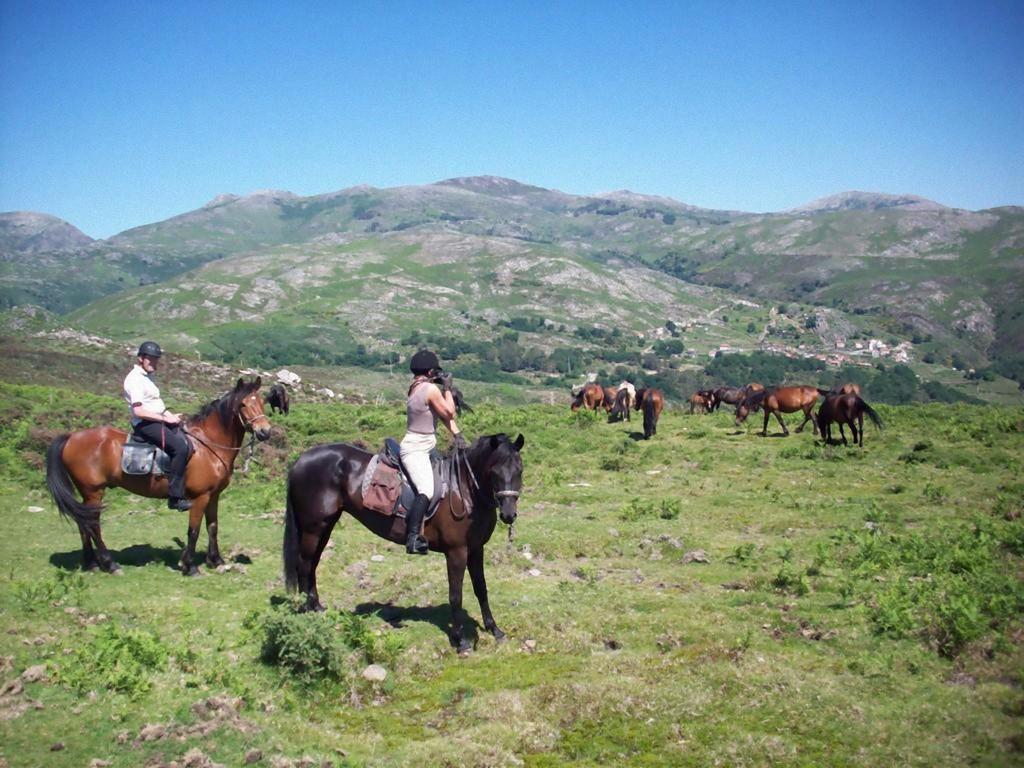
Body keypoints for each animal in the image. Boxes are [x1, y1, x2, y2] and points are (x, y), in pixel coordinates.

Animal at [44, 378, 272, 577]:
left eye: (262, 402)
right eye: (243, 404)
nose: (265, 432)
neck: (208, 445)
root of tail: (71, 437)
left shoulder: (213, 496)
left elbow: (213, 527)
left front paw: (216, 561)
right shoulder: (200, 497)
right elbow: (194, 530)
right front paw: (190, 566)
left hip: (87, 493)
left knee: (83, 523)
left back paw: (91, 563)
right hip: (93, 492)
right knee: (92, 525)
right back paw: (109, 564)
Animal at [282, 436, 524, 651]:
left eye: (519, 470)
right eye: (494, 472)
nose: (509, 514)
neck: (462, 490)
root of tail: (300, 460)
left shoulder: (475, 549)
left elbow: (481, 588)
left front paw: (495, 629)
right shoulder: (457, 552)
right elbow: (456, 595)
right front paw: (460, 640)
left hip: (325, 526)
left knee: (312, 565)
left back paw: (317, 606)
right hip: (313, 528)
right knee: (304, 566)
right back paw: (307, 612)